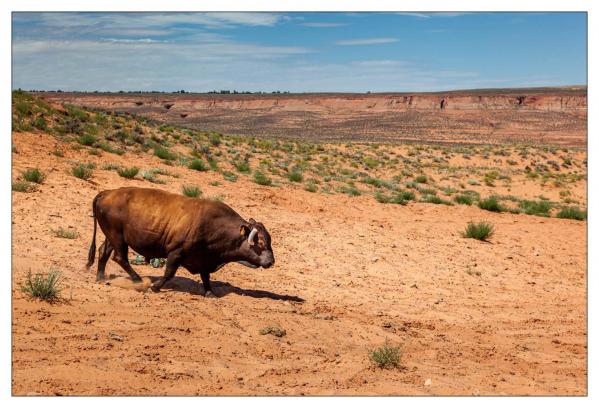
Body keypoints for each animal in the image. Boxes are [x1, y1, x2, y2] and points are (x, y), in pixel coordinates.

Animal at [85, 187, 276, 296]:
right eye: (260, 243)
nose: (271, 261)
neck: (214, 225)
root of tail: (107, 193)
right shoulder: (176, 252)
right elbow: (169, 273)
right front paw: (155, 287)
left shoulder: (204, 259)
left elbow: (206, 277)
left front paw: (210, 292)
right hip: (117, 236)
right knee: (120, 258)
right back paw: (139, 280)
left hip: (112, 236)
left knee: (103, 252)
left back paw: (100, 277)